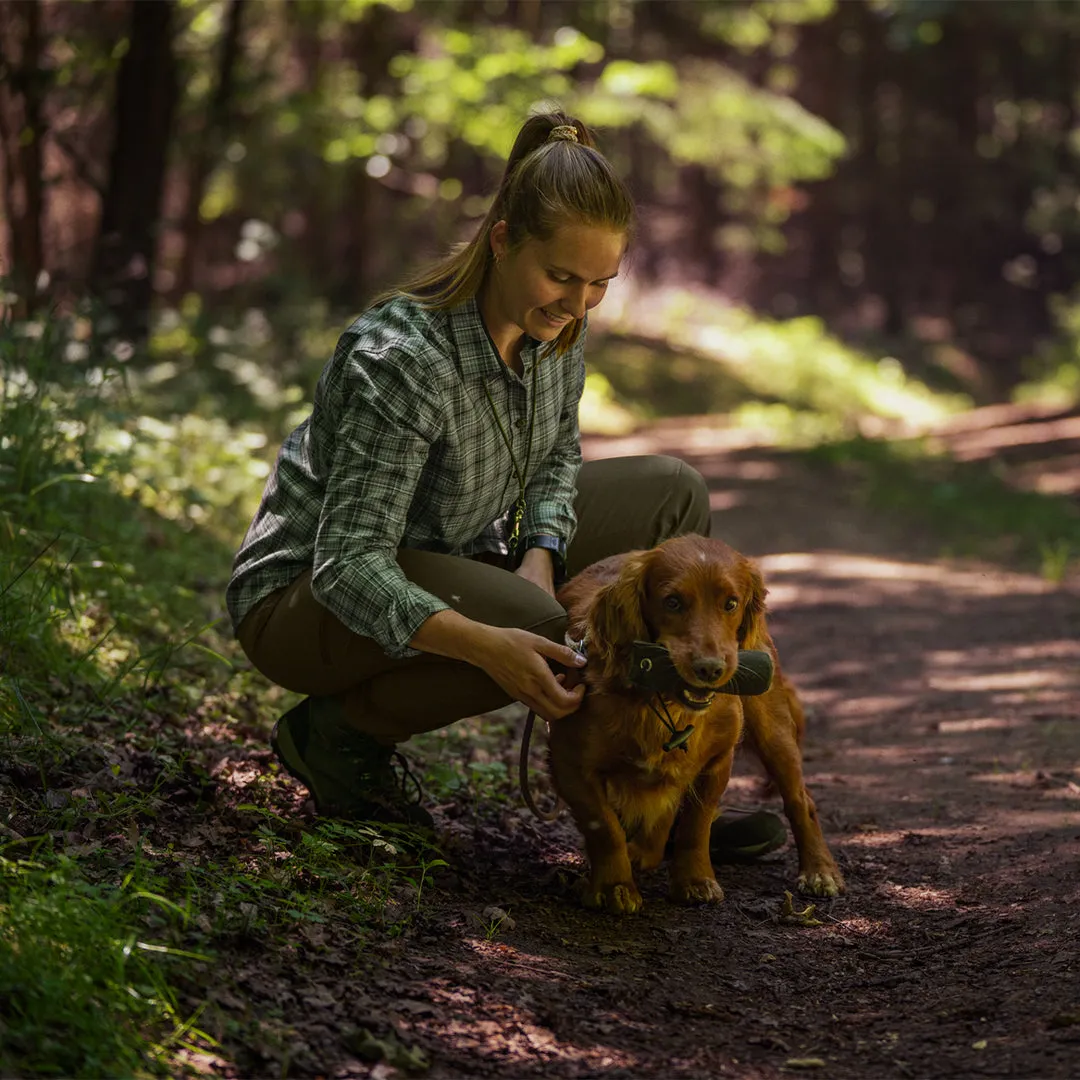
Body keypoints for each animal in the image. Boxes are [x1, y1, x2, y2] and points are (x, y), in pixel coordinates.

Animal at [548, 531, 842, 911]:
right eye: (672, 602)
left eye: (730, 603)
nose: (710, 669)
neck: (665, 704)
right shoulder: (569, 763)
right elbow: (605, 826)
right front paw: (615, 886)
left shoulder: (717, 760)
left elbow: (695, 825)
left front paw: (695, 880)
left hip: (773, 733)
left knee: (800, 799)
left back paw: (819, 871)